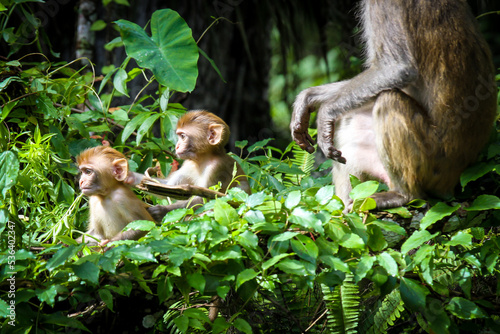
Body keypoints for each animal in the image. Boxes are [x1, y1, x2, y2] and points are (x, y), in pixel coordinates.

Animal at [290, 0, 496, 209]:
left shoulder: (384, 5)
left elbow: (397, 68)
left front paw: (324, 113)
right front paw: (308, 98)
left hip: (435, 162)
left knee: (388, 100)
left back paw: (404, 195)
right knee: (348, 117)